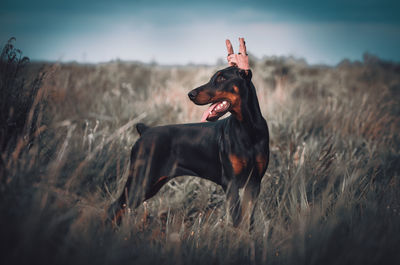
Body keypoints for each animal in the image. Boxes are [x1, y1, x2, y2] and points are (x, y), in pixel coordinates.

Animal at [109, 38, 270, 227]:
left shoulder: (254, 183)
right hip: (140, 181)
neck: (248, 129)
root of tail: (145, 131)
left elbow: (247, 224)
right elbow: (237, 223)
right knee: (114, 207)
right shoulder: (231, 183)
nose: (190, 94)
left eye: (222, 78)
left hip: (151, 184)